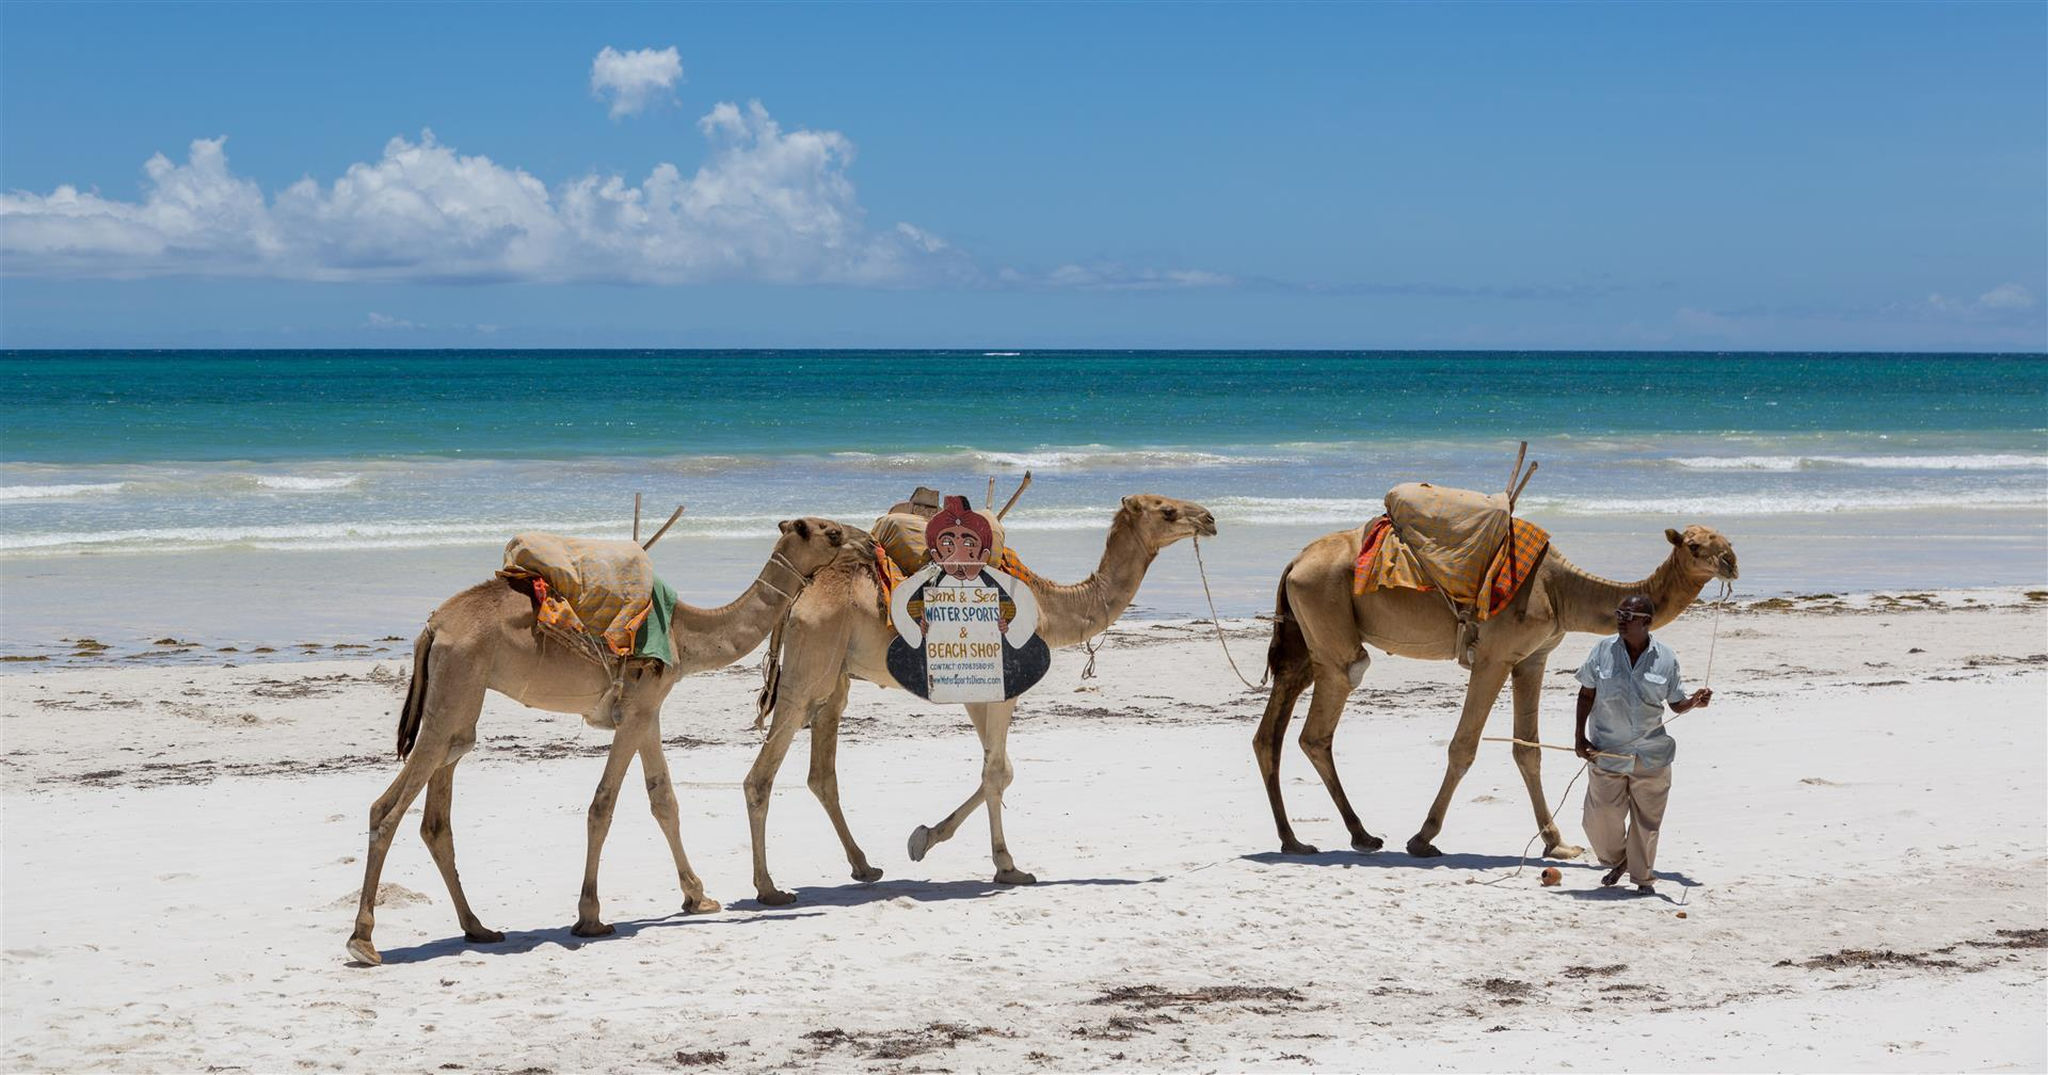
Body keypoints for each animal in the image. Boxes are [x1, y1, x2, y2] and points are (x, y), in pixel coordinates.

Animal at [342, 518, 847, 962]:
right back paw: (363, 941)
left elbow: (663, 800)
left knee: (438, 811)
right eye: (831, 533)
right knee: (387, 807)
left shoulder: (647, 709)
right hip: (453, 688)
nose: (855, 541)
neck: (686, 633)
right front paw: (590, 918)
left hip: (461, 701)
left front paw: (697, 897)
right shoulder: (638, 709)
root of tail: (433, 627)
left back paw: (478, 928)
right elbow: (603, 806)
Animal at [745, 495, 1212, 905]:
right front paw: (1007, 866)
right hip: (808, 671)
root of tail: (798, 595)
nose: (1208, 518)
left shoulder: (977, 691)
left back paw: (864, 866)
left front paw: (925, 838)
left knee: (822, 774)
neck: (1047, 606)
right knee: (762, 775)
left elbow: (998, 770)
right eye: (1167, 511)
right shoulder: (1005, 684)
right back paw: (769, 890)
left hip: (834, 679)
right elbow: (997, 772)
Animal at [1253, 524, 1736, 860]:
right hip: (1330, 628)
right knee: (1318, 728)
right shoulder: (1493, 657)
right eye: (1695, 545)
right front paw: (1423, 838)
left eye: (1723, 538)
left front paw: (1557, 843)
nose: (1731, 560)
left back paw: (1296, 840)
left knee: (1270, 731)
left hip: (1304, 642)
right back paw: (1359, 835)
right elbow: (1463, 747)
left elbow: (1529, 750)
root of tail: (1295, 562)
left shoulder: (1532, 659)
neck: (1561, 589)